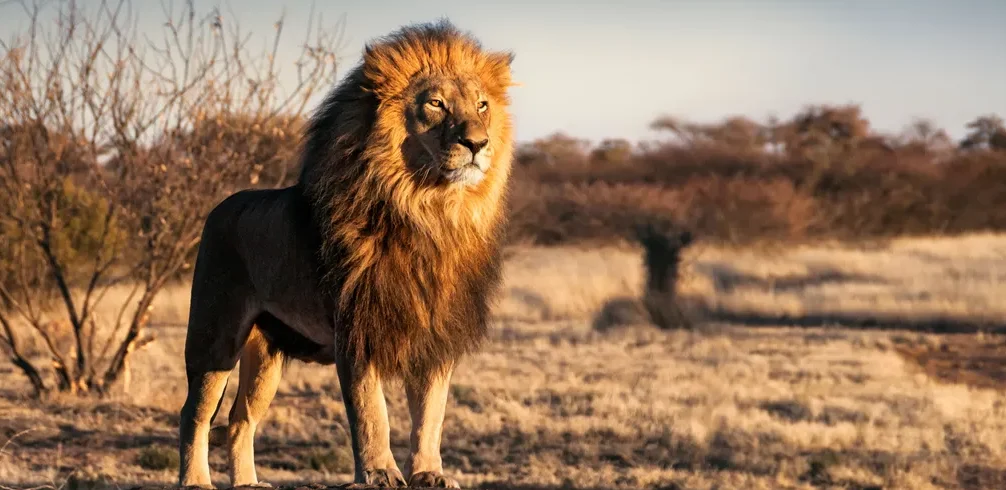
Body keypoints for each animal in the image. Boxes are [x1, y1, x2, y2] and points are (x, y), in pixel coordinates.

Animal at [177, 20, 516, 489]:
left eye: (482, 105)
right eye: (435, 103)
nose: (478, 143)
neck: (429, 212)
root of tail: (220, 206)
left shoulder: (435, 334)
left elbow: (431, 414)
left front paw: (429, 473)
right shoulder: (356, 329)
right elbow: (372, 412)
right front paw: (380, 472)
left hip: (266, 355)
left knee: (240, 419)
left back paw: (247, 482)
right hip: (215, 336)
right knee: (195, 414)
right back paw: (195, 480)